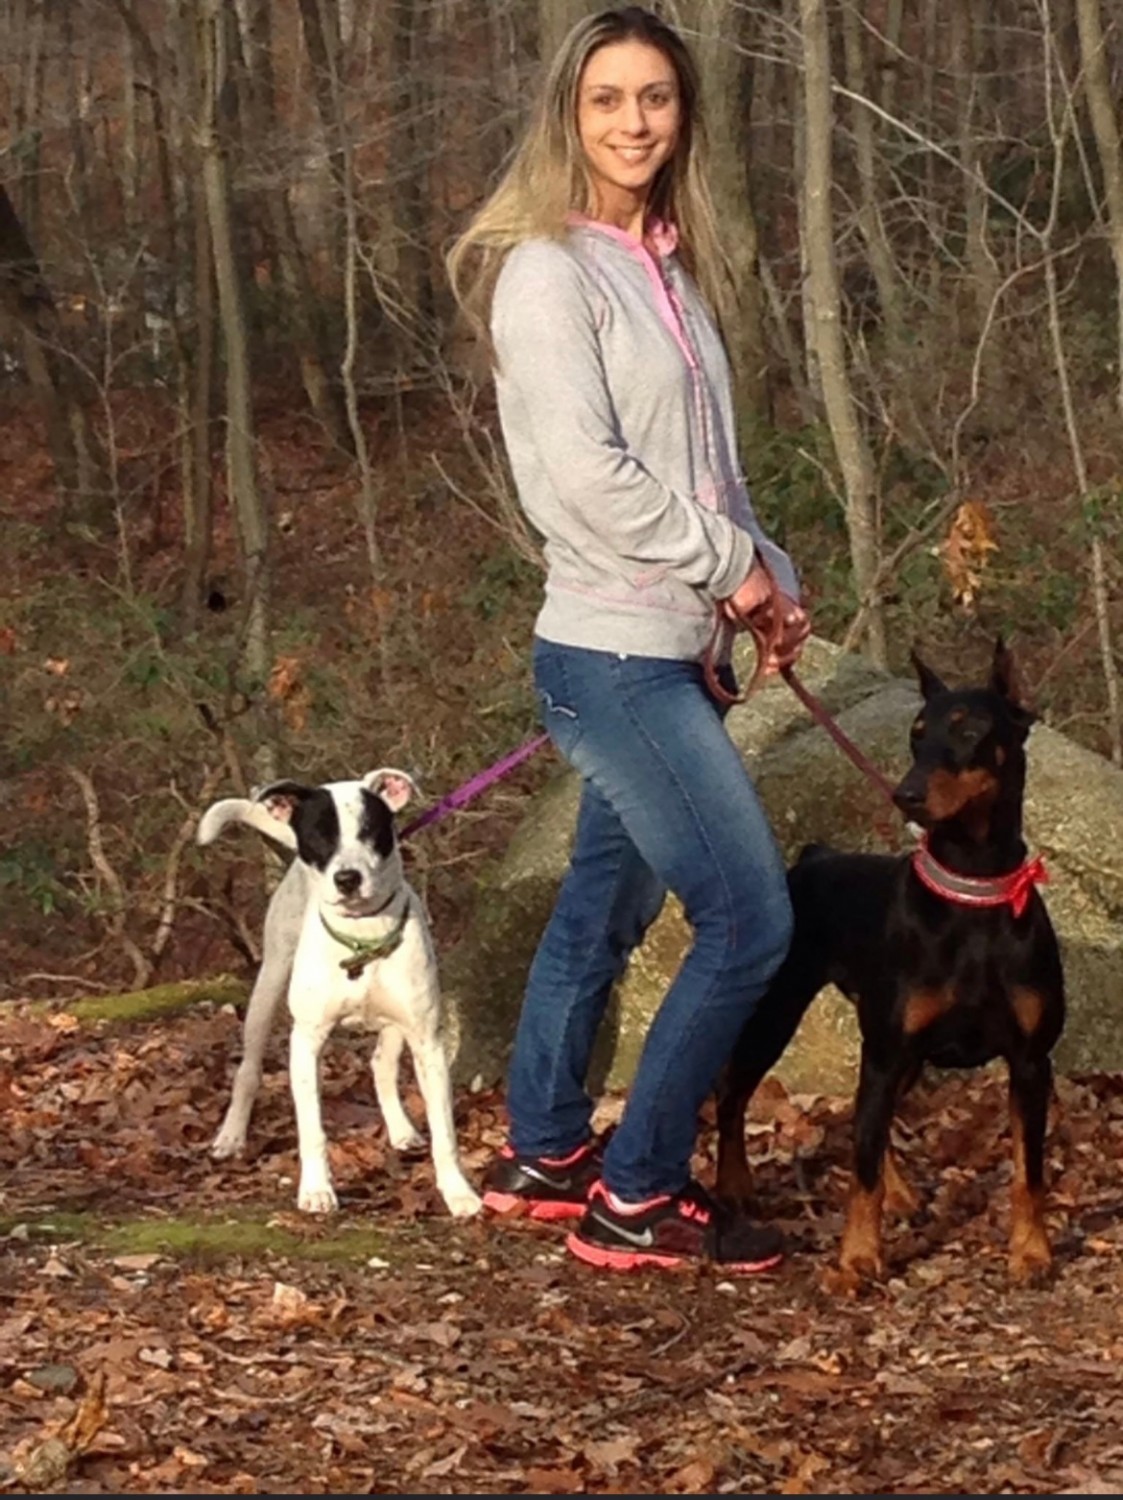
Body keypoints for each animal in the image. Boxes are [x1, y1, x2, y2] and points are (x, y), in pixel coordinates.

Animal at [199, 774, 479, 1218]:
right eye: (319, 836)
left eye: (369, 831)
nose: (347, 878)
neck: (362, 937)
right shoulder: (306, 1042)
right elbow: (312, 1128)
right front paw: (316, 1190)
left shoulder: (427, 1041)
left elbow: (445, 1131)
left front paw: (458, 1192)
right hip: (269, 985)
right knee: (248, 1070)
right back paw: (231, 1137)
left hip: (397, 1021)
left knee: (381, 1063)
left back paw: (401, 1129)